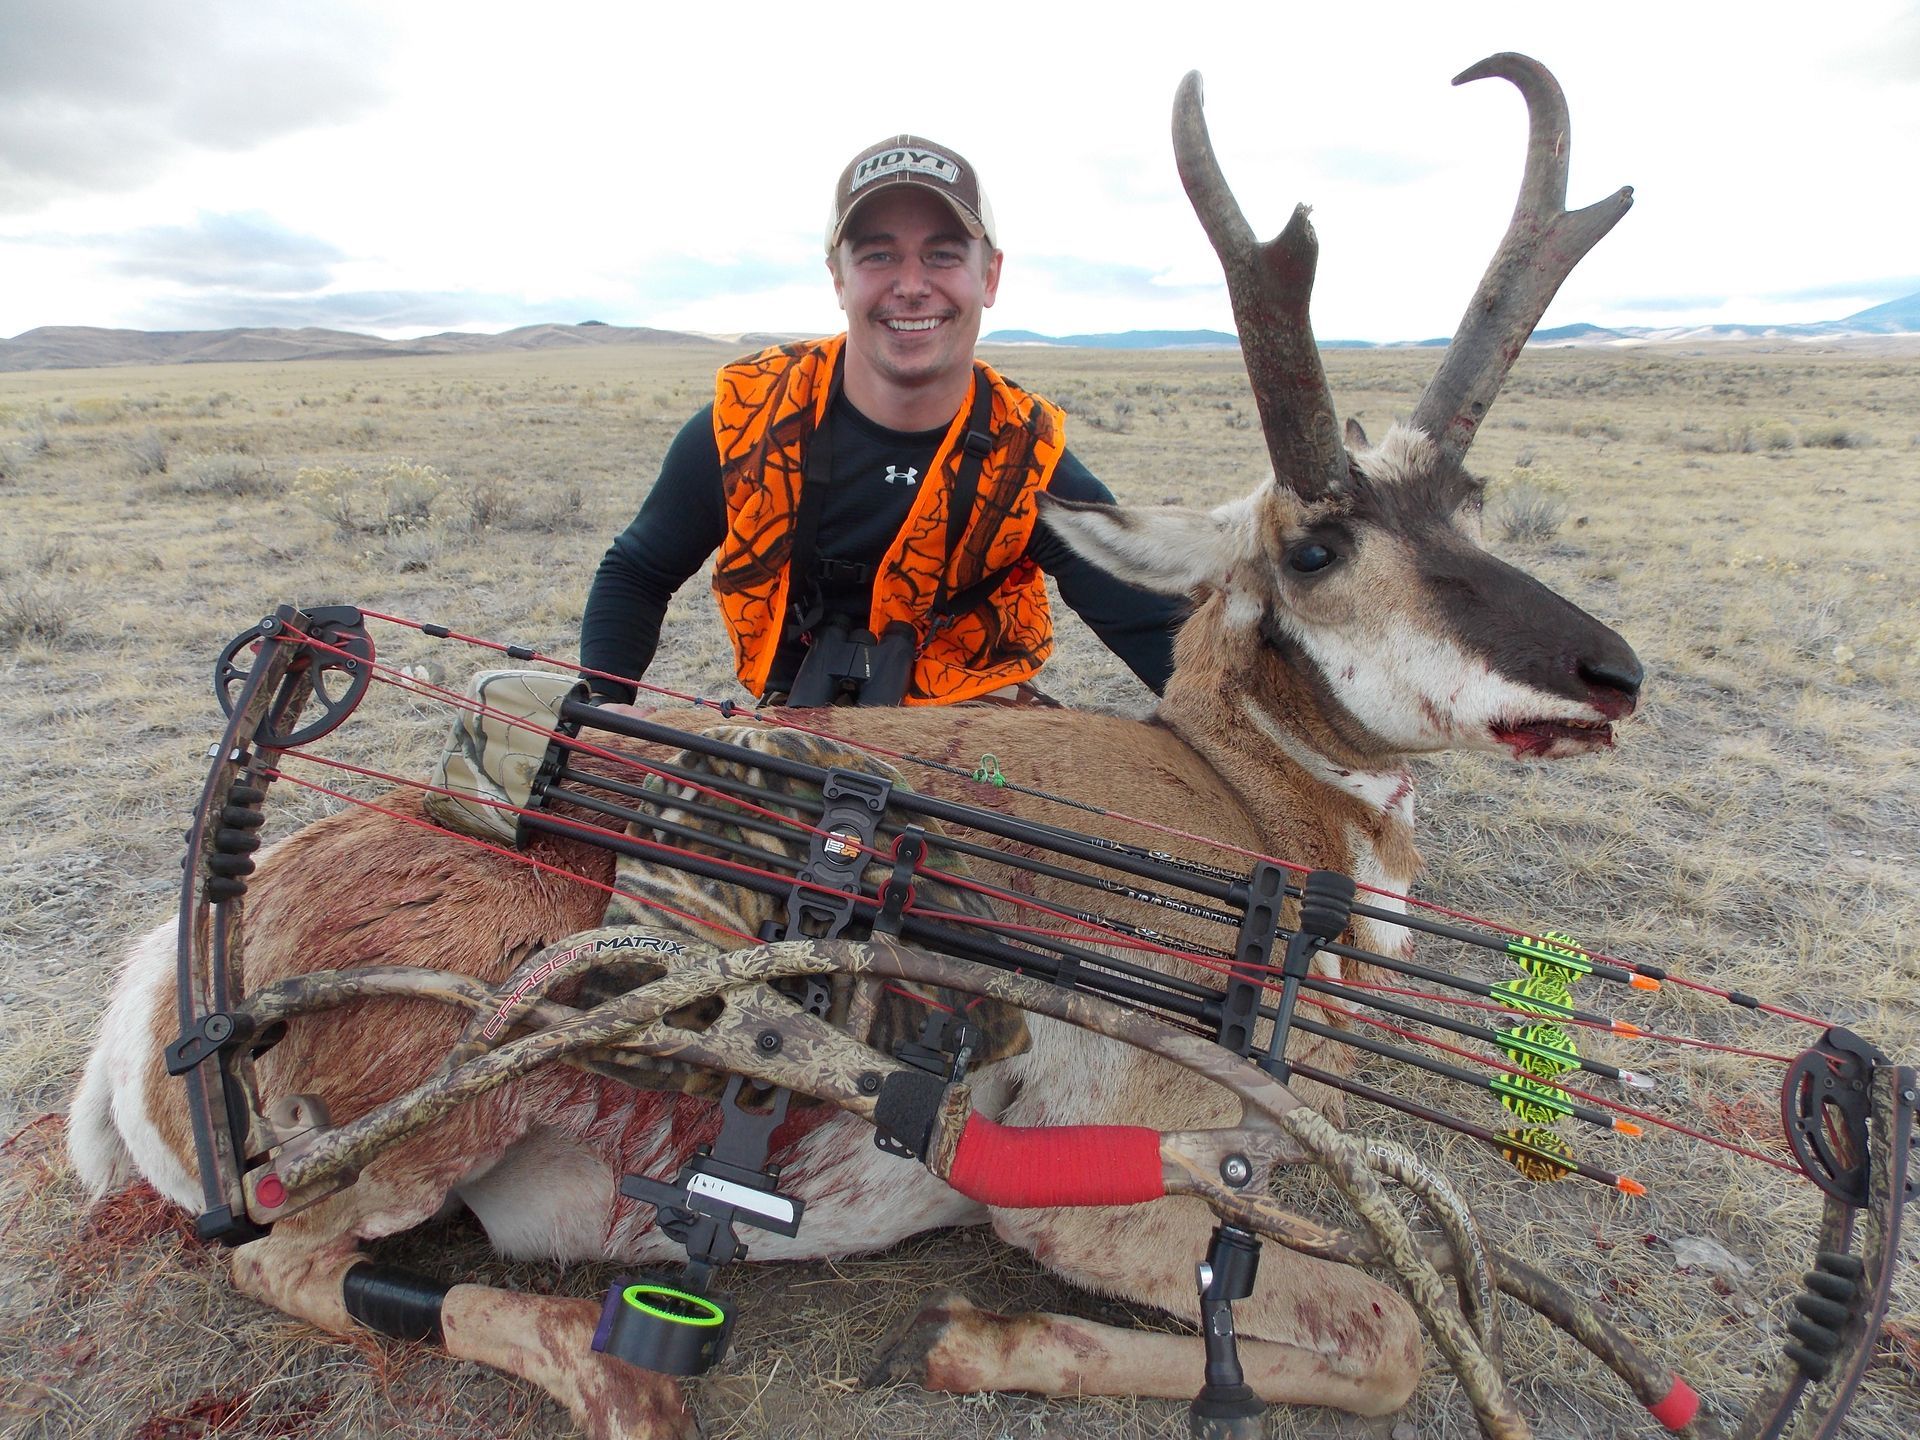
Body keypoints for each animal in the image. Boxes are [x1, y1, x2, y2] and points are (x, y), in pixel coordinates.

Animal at [70, 55, 1639, 1440]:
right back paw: (626, 1375)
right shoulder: (1117, 1189)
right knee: (284, 1261)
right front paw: (959, 1338)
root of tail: (179, 968)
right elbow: (1390, 1341)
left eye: (1473, 502)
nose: (1611, 674)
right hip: (446, 1106)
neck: (1229, 798)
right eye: (1316, 547)